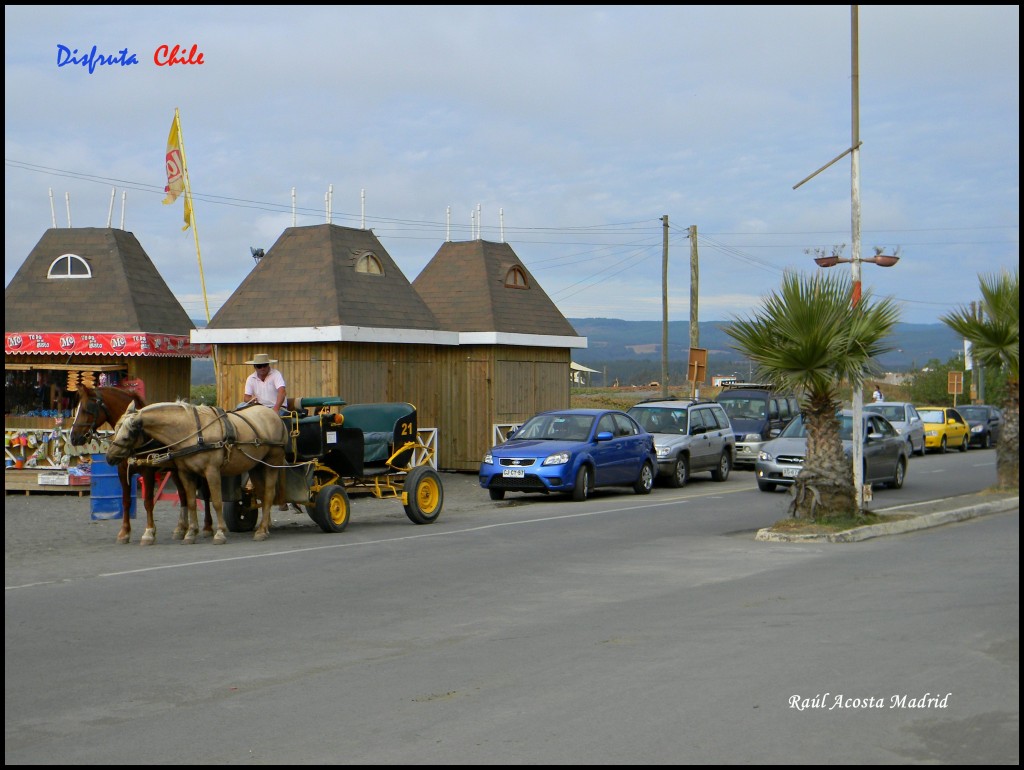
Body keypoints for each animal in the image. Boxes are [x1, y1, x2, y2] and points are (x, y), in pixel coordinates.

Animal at [69, 382, 212, 540]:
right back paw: (181, 528)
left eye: (86, 409)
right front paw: (124, 532)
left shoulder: (148, 472)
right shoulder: (122, 472)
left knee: (206, 494)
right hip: (176, 471)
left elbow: (148, 502)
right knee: (183, 495)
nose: (73, 438)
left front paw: (149, 532)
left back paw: (207, 527)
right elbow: (126, 501)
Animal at [105, 399, 288, 544]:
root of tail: (272, 414)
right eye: (115, 430)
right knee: (262, 495)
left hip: (272, 461)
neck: (191, 431)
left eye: (126, 436)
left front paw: (219, 533)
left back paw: (261, 530)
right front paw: (190, 533)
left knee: (269, 494)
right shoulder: (185, 473)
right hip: (257, 466)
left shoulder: (211, 471)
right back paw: (264, 526)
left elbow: (216, 501)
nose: (109, 457)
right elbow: (191, 501)